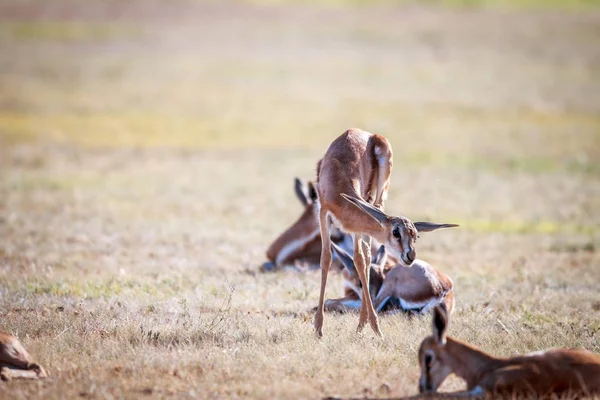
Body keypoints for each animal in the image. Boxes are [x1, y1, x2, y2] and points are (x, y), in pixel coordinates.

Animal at [314, 129, 460, 338]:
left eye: (415, 236)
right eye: (396, 232)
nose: (410, 256)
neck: (337, 180)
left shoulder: (358, 223)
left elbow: (360, 260)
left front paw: (374, 327)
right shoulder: (323, 214)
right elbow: (326, 258)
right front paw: (318, 329)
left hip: (378, 195)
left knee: (365, 257)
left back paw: (363, 324)